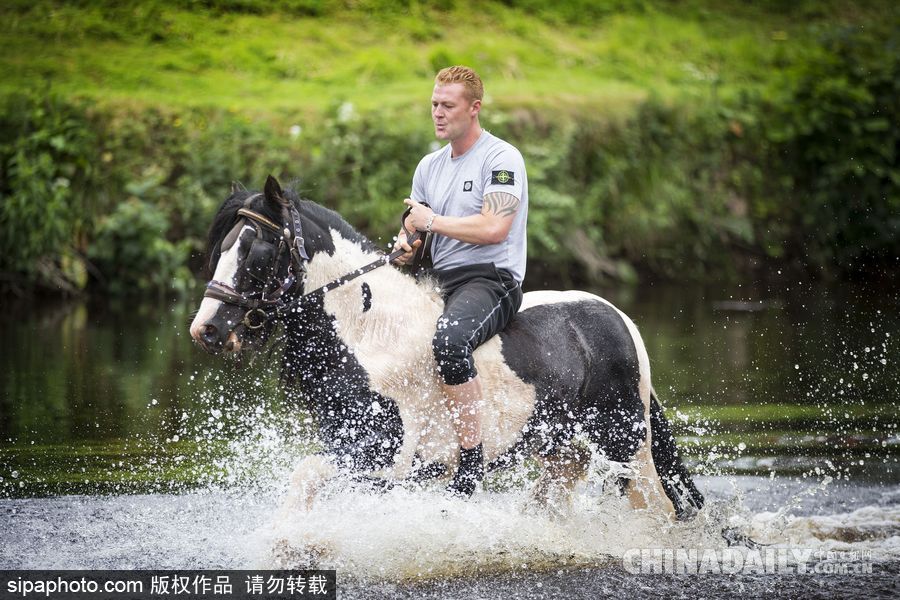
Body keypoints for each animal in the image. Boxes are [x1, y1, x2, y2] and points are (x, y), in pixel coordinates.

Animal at [190, 175, 708, 520]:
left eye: (256, 250)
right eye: (225, 247)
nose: (206, 330)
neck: (369, 333)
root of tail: (619, 319)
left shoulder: (380, 455)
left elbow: (302, 478)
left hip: (625, 444)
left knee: (659, 505)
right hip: (563, 451)